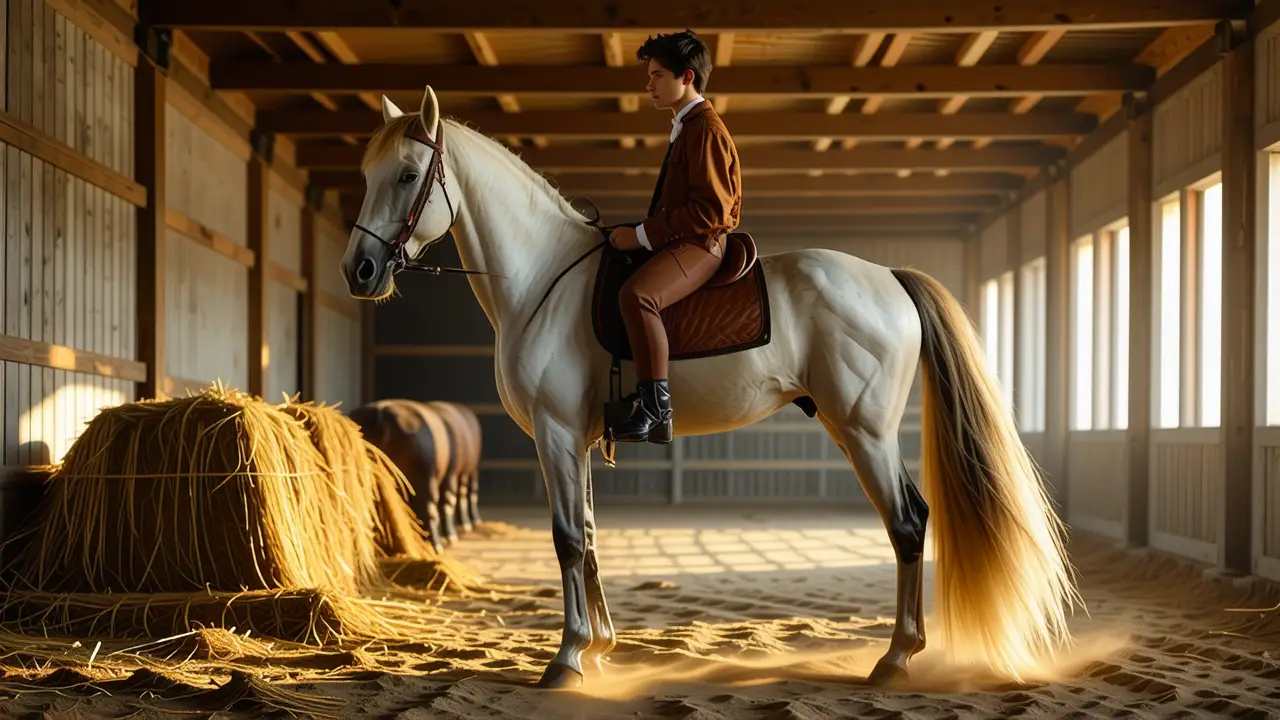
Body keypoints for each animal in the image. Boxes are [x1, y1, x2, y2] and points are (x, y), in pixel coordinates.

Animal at [338, 86, 1082, 689]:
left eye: (408, 176)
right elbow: (589, 533)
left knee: (905, 523)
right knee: (911, 519)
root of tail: (890, 278)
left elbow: (567, 539)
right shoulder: (576, 439)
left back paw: (895, 659)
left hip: (864, 430)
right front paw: (601, 649)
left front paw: (568, 658)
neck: (543, 279)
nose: (359, 270)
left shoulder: (554, 432)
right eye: (368, 174)